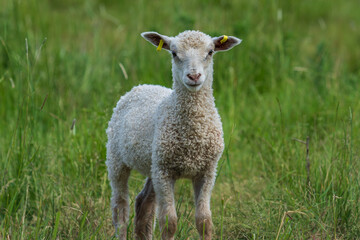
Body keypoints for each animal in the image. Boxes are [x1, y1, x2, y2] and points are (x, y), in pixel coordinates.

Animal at [107, 30, 242, 240]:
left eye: (210, 52)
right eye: (173, 53)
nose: (194, 76)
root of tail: (141, 86)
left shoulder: (207, 170)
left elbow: (204, 221)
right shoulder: (165, 172)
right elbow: (169, 223)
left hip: (154, 163)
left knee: (144, 203)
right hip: (117, 158)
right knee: (120, 207)